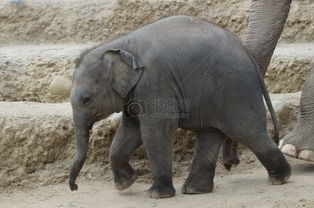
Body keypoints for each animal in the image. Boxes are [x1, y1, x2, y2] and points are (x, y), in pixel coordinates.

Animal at [68, 15, 290, 198]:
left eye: (86, 99)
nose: (75, 187)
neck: (118, 44)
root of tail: (249, 56)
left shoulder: (154, 83)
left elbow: (154, 130)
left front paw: (156, 195)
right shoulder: (134, 93)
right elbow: (131, 130)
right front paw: (126, 184)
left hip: (236, 93)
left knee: (248, 132)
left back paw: (281, 179)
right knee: (210, 136)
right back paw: (194, 190)